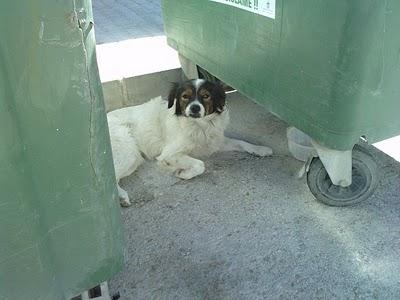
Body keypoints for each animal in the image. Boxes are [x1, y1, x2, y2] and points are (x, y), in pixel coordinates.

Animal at [108, 78, 274, 207]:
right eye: (185, 96)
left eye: (206, 96)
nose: (194, 108)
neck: (200, 126)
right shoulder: (169, 154)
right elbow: (200, 165)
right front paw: (182, 173)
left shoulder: (214, 142)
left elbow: (242, 142)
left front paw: (261, 149)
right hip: (129, 154)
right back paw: (122, 197)